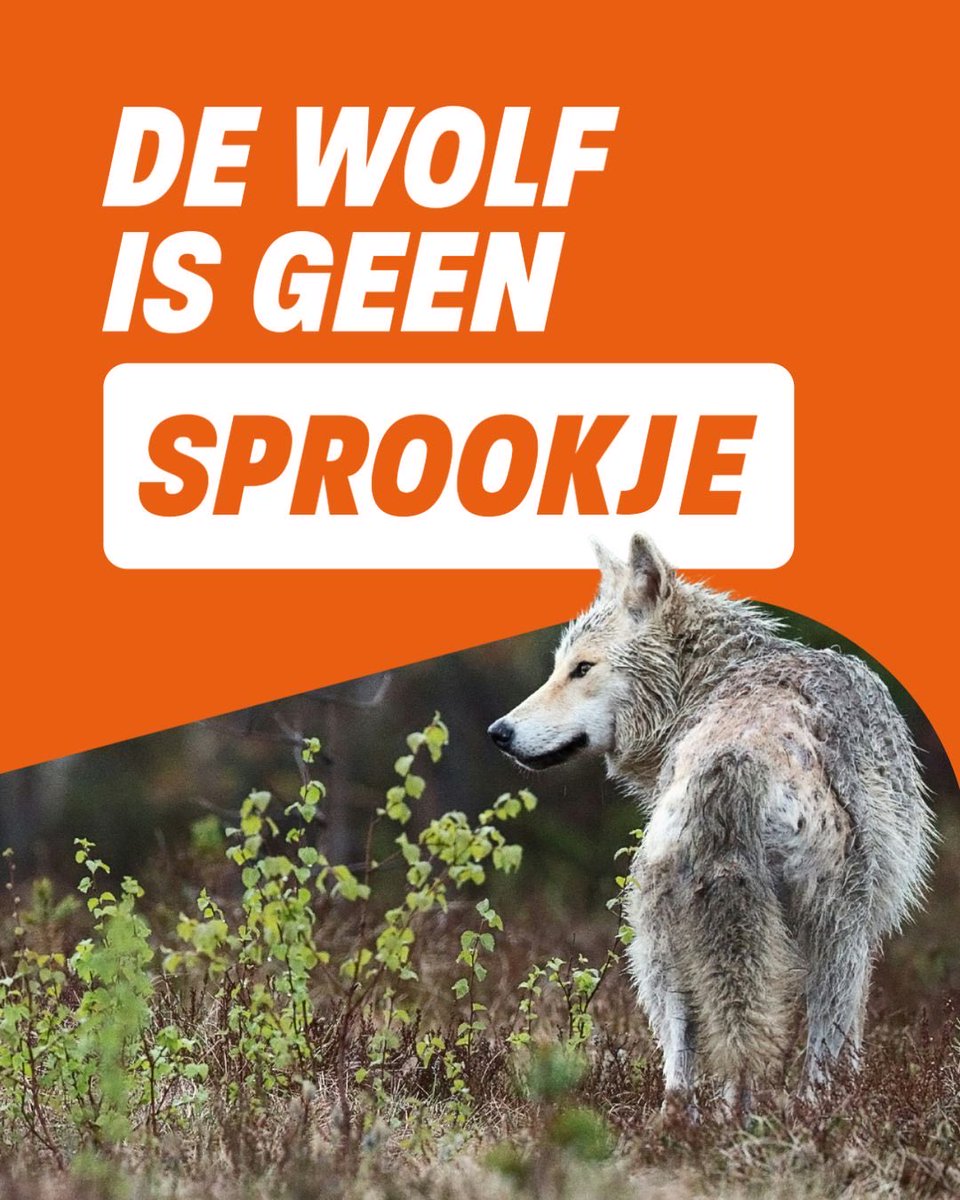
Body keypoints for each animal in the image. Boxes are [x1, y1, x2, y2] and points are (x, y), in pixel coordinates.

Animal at [488, 533, 935, 1114]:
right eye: (562, 667)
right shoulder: (862, 928)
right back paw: (807, 1115)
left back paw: (694, 1124)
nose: (498, 732)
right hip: (833, 930)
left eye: (580, 669)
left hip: (660, 940)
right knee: (813, 1050)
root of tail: (733, 759)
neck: (707, 680)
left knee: (684, 1064)